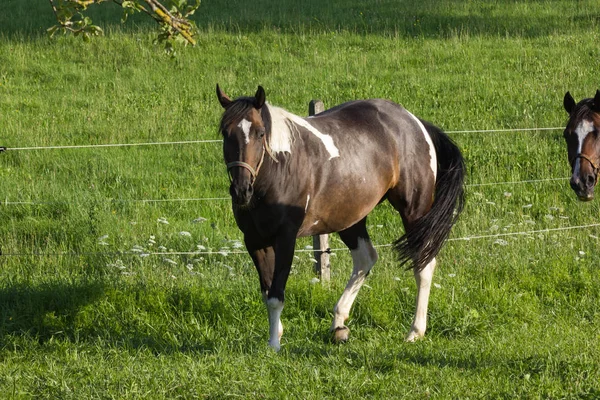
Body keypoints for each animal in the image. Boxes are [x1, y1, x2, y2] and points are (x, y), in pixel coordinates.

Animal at [216, 84, 464, 350]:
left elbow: (276, 294)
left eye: (260, 133)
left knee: (423, 265)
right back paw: (339, 324)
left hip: (414, 211)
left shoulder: (285, 238)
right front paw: (277, 334)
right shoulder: (254, 241)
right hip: (350, 218)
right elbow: (267, 291)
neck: (278, 169)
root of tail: (415, 122)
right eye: (226, 133)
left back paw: (415, 331)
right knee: (366, 259)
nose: (241, 190)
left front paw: (274, 345)